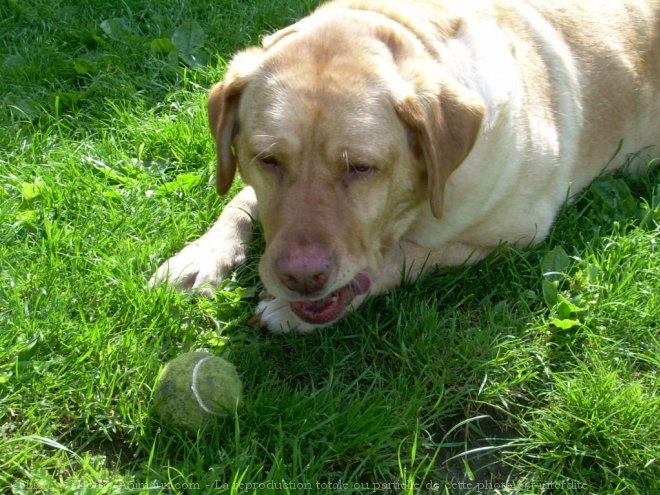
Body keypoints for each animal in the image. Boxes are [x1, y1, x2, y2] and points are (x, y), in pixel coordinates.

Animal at [151, 0, 660, 334]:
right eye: (268, 160)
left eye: (360, 168)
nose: (300, 279)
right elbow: (239, 201)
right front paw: (202, 256)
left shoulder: (514, 234)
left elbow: (406, 254)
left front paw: (290, 311)